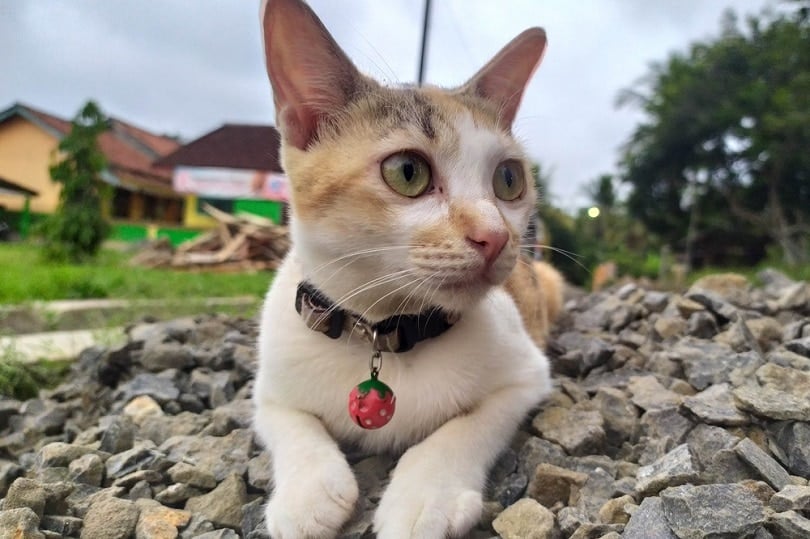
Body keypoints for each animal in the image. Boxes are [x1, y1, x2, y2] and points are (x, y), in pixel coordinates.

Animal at [254, 2, 560, 536]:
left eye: (508, 179)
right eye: (408, 172)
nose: (495, 236)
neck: (383, 331)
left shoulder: (527, 376)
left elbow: (467, 425)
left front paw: (425, 495)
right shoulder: (268, 383)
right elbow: (289, 421)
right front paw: (307, 492)